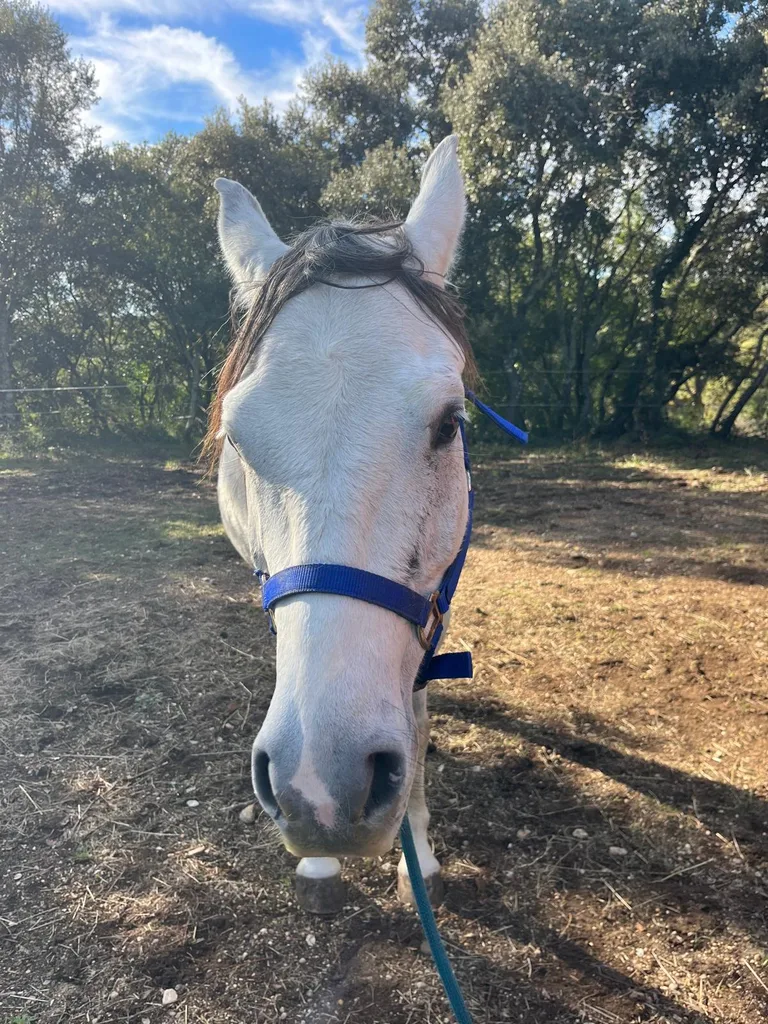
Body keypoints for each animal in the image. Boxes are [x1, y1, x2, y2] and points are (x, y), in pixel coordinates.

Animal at [206, 136, 475, 914]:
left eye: (450, 424)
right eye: (237, 439)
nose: (321, 790)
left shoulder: (435, 600)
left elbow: (417, 719)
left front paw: (420, 853)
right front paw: (322, 866)